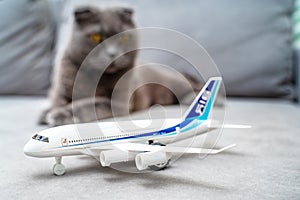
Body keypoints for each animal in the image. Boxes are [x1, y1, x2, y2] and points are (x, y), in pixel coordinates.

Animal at [39, 5, 199, 126]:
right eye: (95, 37)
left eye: (123, 37)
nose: (112, 53)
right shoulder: (61, 91)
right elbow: (58, 102)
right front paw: (47, 112)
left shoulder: (118, 103)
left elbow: (91, 103)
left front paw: (60, 115)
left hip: (172, 80)